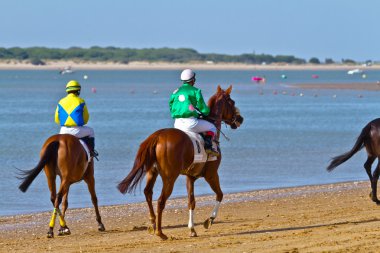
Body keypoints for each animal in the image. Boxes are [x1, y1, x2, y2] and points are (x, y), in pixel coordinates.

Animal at [117, 85, 245, 239]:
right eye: (232, 102)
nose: (240, 119)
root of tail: (158, 136)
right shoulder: (212, 174)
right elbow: (220, 194)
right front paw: (209, 220)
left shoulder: (190, 177)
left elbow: (191, 202)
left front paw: (192, 229)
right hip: (170, 177)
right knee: (161, 200)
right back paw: (160, 232)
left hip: (152, 172)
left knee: (148, 193)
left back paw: (153, 223)